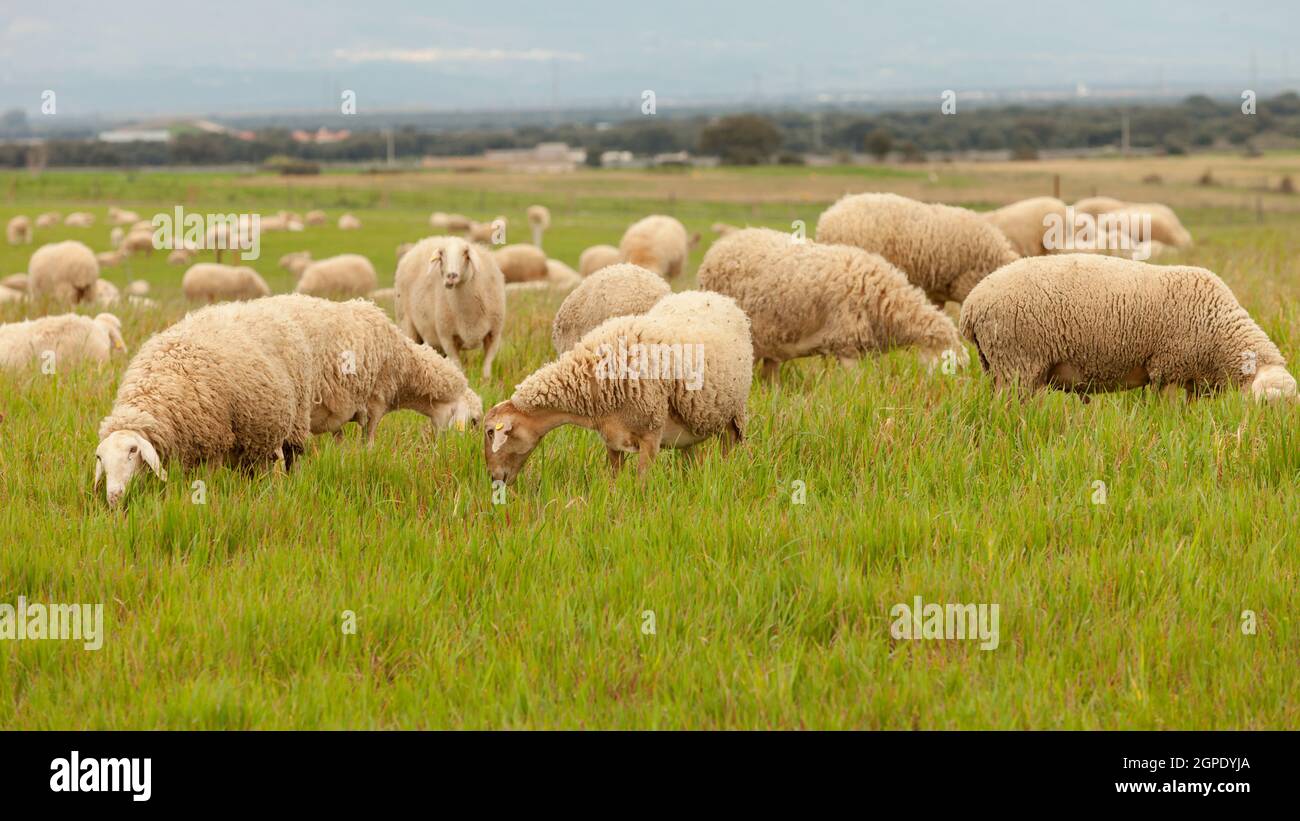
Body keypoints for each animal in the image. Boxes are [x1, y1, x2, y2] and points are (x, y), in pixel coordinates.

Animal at [394, 235, 506, 379]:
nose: (451, 276)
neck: (468, 314)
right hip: (406, 323)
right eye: (441, 255)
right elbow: (459, 370)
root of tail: (421, 243)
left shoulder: (494, 335)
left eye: (465, 253)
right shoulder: (447, 337)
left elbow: (486, 369)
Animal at [483, 290, 752, 484]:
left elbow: (641, 484)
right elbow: (614, 482)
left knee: (729, 451)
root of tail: (713, 296)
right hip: (690, 425)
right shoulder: (612, 438)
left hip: (734, 415)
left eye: (490, 432)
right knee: (689, 457)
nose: (494, 478)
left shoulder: (650, 435)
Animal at [958, 254, 1295, 402]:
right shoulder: (1167, 368)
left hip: (997, 367)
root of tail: (972, 305)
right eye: (1265, 405)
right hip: (1018, 363)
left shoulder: (1193, 379)